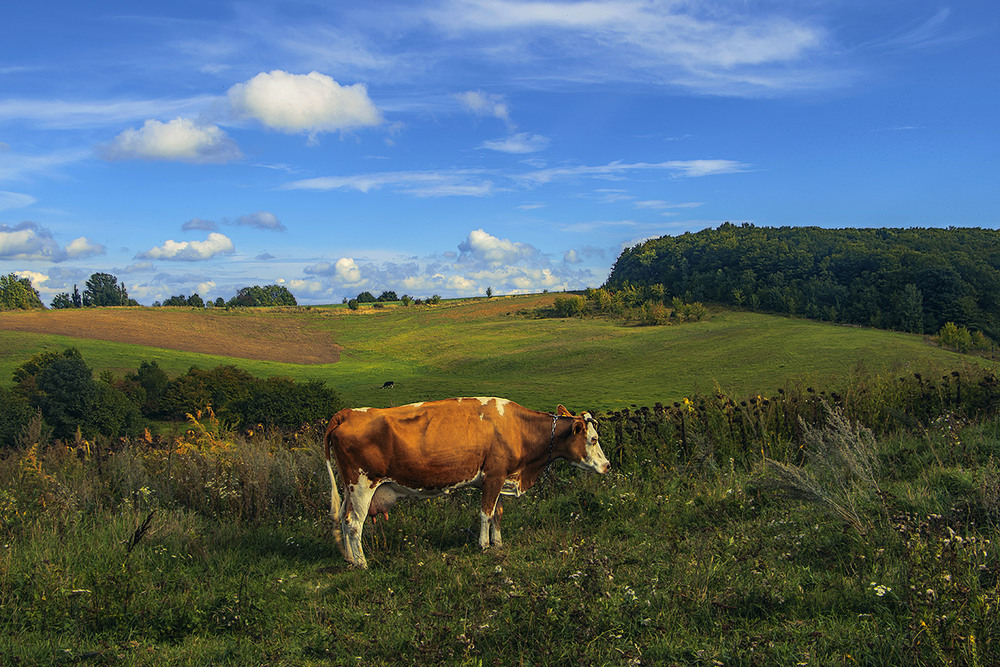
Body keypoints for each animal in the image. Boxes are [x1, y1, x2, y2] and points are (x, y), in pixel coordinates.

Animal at [326, 396, 608, 568]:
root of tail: (348, 413)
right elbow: (485, 514)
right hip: (362, 485)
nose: (607, 465)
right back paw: (362, 563)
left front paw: (498, 543)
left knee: (344, 518)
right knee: (354, 524)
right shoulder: (494, 475)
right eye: (593, 439)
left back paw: (350, 559)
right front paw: (483, 545)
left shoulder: (498, 478)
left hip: (349, 488)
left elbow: (497, 514)